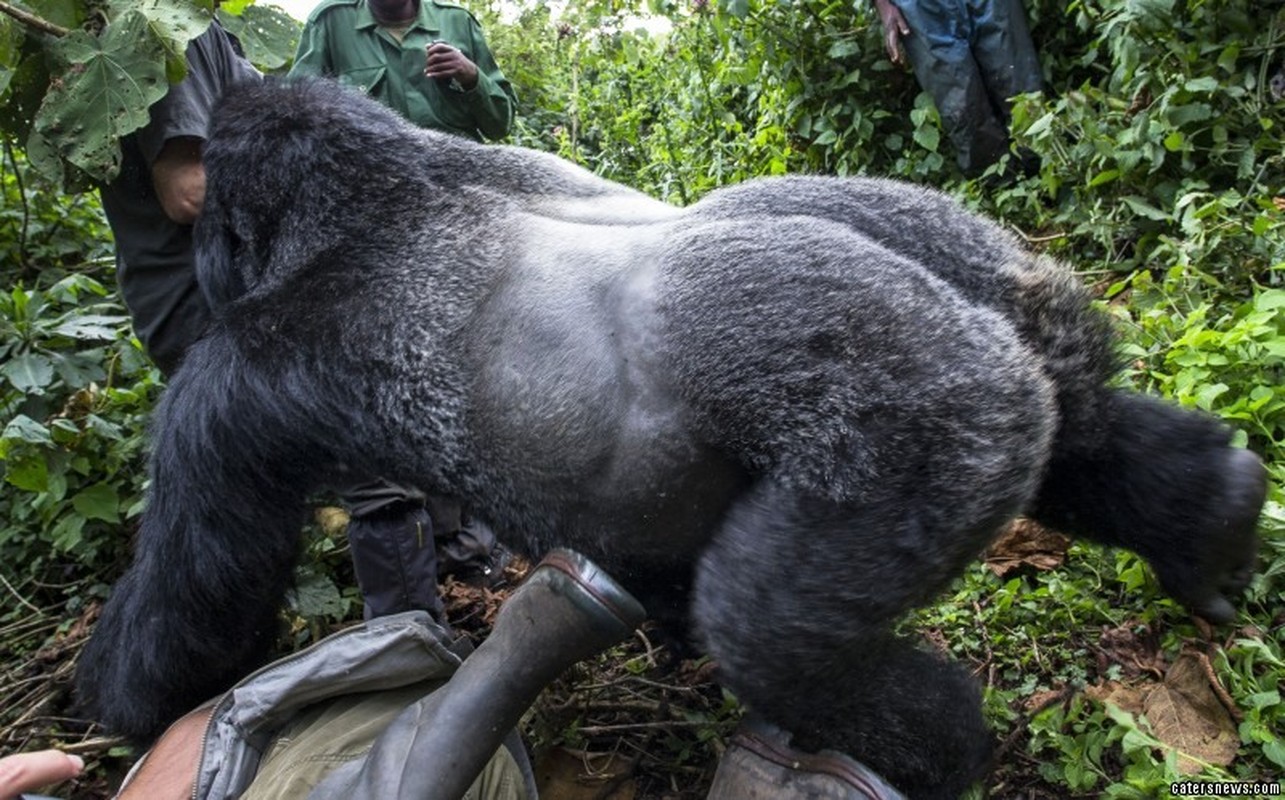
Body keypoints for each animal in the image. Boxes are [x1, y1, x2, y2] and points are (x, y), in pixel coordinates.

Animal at [77, 76, 1264, 800]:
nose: (199, 264)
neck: (379, 189)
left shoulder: (233, 382)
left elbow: (195, 587)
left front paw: (113, 707)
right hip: (1010, 296)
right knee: (1084, 430)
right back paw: (1208, 516)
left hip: (932, 416)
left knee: (772, 630)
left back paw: (938, 746)